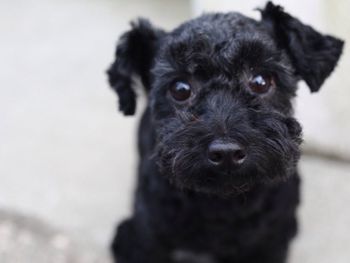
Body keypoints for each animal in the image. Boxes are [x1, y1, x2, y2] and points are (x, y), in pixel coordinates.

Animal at [108, 2, 344, 263]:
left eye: (261, 81)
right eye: (180, 88)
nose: (227, 152)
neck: (224, 204)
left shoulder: (272, 242)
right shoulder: (148, 239)